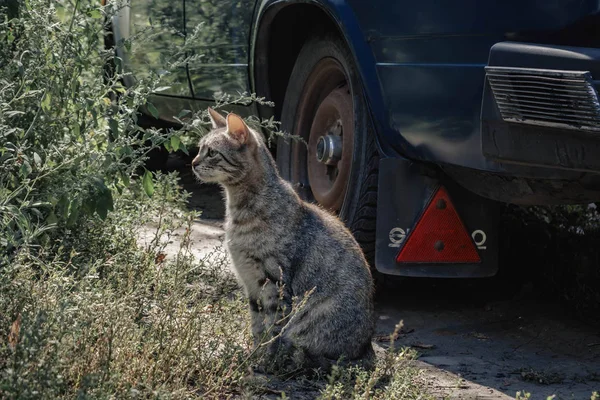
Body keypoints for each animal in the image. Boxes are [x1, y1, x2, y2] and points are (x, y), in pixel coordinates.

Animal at [192, 108, 376, 372]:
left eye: (212, 152)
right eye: (199, 149)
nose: (193, 163)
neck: (239, 208)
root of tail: (367, 349)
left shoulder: (273, 281)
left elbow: (272, 327)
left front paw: (265, 360)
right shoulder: (250, 282)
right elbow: (257, 324)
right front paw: (254, 354)